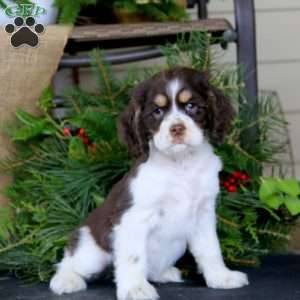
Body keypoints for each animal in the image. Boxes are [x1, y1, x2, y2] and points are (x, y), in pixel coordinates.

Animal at [50, 67, 248, 300]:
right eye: (157, 111)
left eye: (191, 106)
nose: (177, 129)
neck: (181, 164)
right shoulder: (133, 217)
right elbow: (133, 257)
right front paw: (135, 288)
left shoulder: (203, 214)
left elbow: (211, 249)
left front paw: (221, 277)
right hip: (91, 252)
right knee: (68, 262)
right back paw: (66, 280)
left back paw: (164, 273)